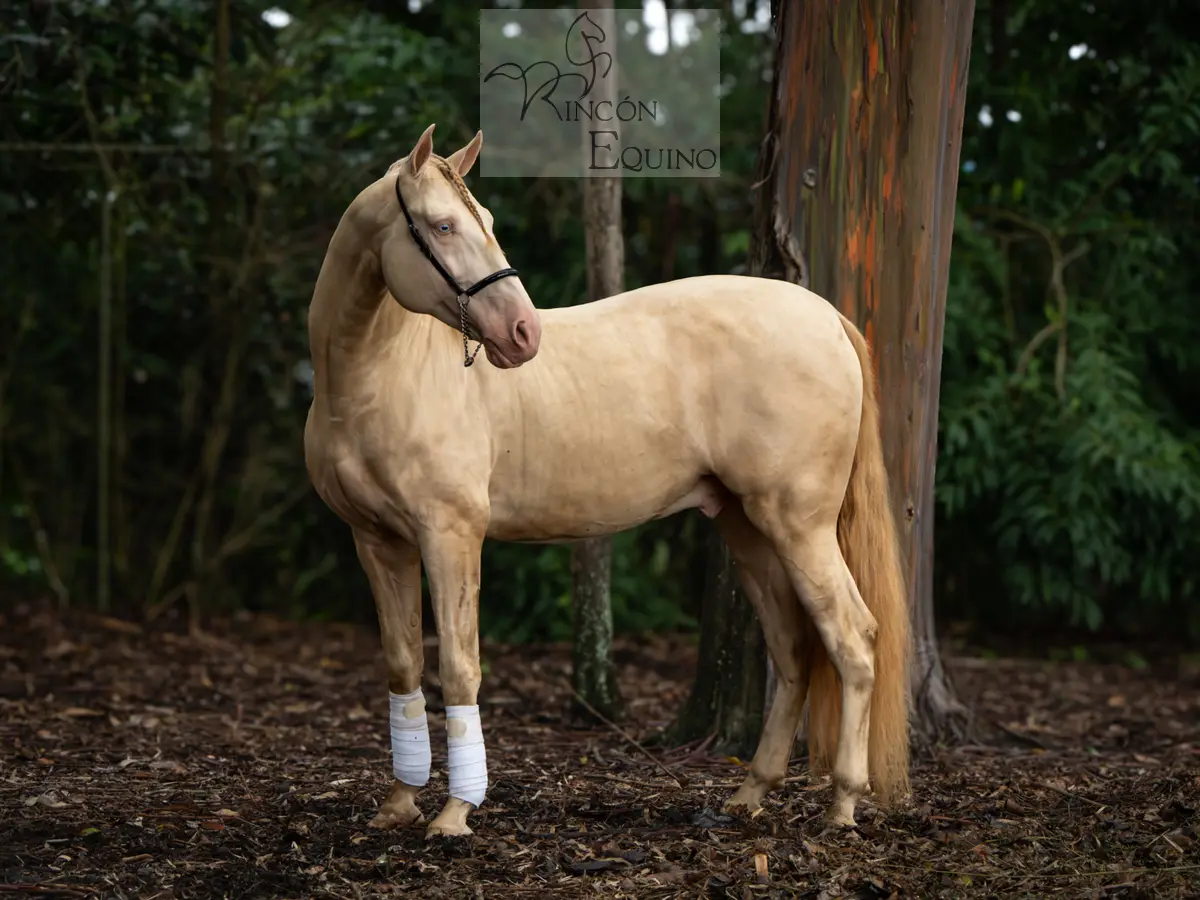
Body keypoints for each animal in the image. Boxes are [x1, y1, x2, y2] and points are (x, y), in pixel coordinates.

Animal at [303, 123, 912, 839]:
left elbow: (459, 667)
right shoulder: (376, 540)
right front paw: (398, 803)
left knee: (853, 639)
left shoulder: (450, 535)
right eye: (443, 225)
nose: (523, 332)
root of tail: (827, 318)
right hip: (747, 527)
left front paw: (454, 814)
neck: (379, 376)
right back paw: (750, 794)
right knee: (792, 647)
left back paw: (843, 803)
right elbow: (403, 664)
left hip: (800, 525)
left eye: (485, 221)